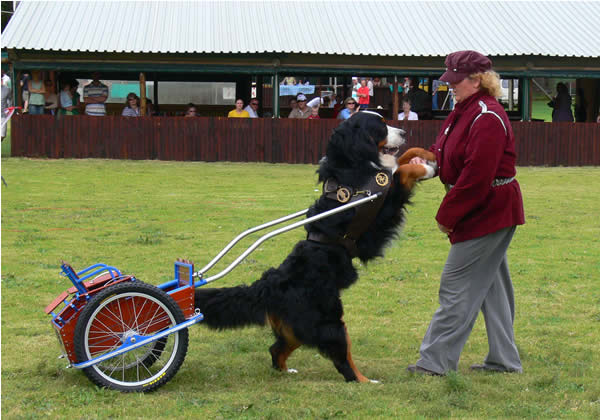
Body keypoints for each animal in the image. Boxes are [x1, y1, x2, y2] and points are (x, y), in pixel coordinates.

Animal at [196, 110, 436, 380]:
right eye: (380, 126)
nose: (405, 131)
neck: (352, 166)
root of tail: (269, 284)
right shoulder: (384, 202)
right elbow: (403, 169)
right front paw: (425, 168)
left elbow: (402, 160)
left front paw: (425, 154)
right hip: (331, 322)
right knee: (343, 363)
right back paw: (368, 381)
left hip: (298, 329)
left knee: (276, 349)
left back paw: (286, 371)